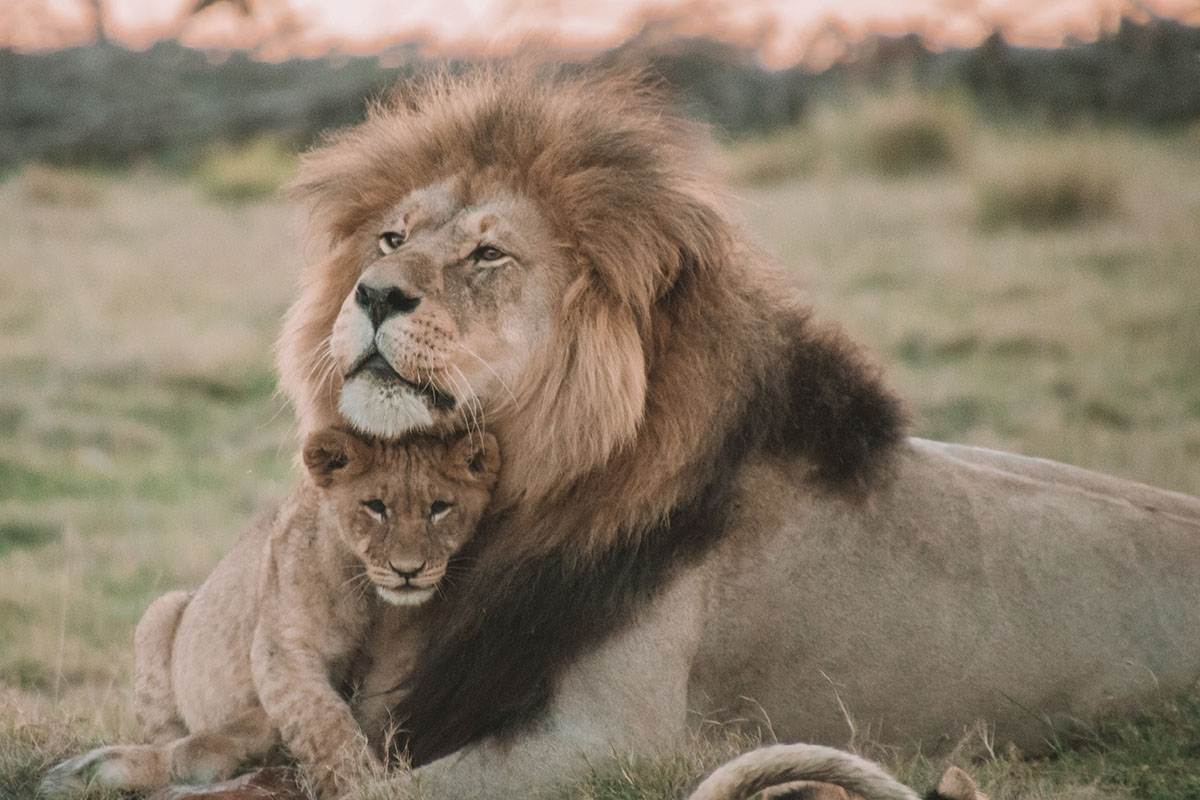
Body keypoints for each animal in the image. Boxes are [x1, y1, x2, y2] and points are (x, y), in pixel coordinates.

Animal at [40, 428, 500, 799]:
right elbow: (324, 723)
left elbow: (370, 719)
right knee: (170, 739)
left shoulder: (397, 666)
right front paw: (360, 784)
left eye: (439, 507)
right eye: (375, 506)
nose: (409, 571)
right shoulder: (283, 648)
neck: (374, 603)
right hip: (160, 611)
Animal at [264, 63, 1200, 798]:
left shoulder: (610, 742)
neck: (523, 489)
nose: (374, 293)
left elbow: (372, 791)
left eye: (488, 256)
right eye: (391, 237)